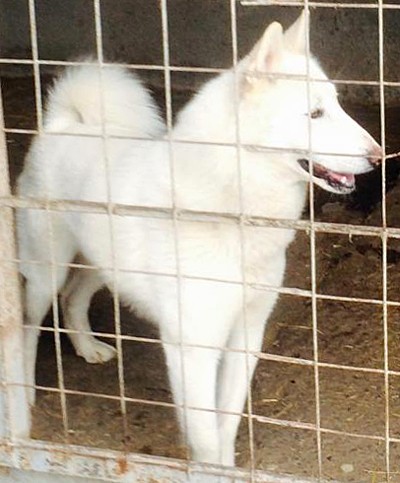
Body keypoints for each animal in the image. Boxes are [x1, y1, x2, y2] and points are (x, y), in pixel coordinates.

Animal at [17, 11, 381, 466]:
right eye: (314, 114)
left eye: (336, 105)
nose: (380, 156)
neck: (235, 202)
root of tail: (66, 123)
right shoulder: (192, 347)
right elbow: (205, 432)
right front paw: (210, 467)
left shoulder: (247, 334)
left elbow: (226, 422)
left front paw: (228, 468)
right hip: (45, 270)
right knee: (29, 323)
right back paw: (24, 393)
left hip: (101, 262)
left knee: (73, 297)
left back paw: (87, 347)